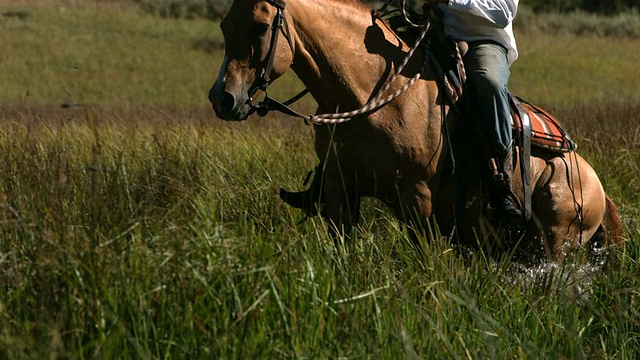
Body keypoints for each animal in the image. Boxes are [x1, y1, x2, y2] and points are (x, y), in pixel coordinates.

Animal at [208, 0, 624, 262]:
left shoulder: (417, 196)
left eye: (261, 26)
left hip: (556, 242)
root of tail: (593, 183)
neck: (370, 91)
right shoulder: (340, 192)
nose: (222, 98)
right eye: (225, 25)